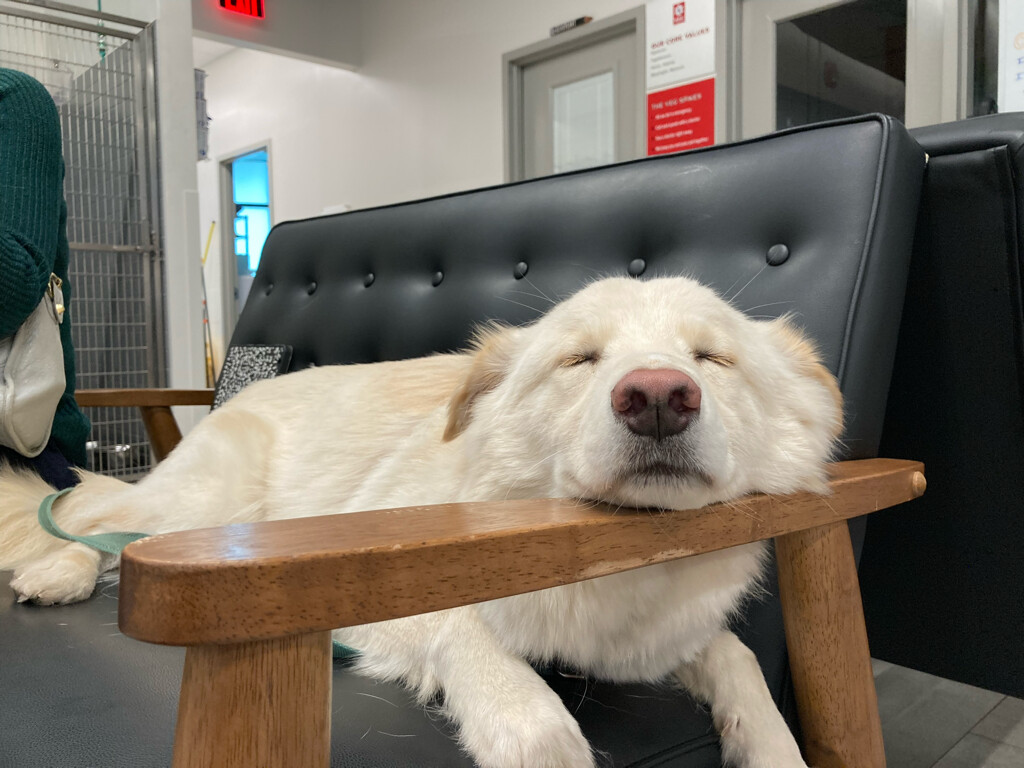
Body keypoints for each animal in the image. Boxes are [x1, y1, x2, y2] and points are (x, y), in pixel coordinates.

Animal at [0, 276, 842, 768]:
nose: (660, 398)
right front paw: (528, 725)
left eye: (711, 359)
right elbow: (467, 630)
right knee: (107, 524)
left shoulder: (656, 644)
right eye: (580, 359)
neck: (613, 555)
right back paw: (59, 569)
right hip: (212, 506)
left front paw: (768, 742)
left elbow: (734, 655)